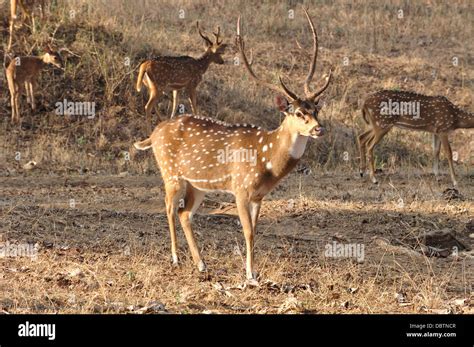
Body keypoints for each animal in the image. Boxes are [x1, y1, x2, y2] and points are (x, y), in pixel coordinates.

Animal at [133, 8, 334, 286]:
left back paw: (201, 264)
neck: (267, 159)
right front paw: (251, 275)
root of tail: (153, 135)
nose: (318, 129)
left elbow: (256, 230)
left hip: (198, 184)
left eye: (315, 110)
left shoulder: (259, 195)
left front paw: (254, 271)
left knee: (185, 213)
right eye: (297, 113)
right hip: (171, 173)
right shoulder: (240, 188)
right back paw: (175, 258)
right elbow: (248, 231)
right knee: (169, 206)